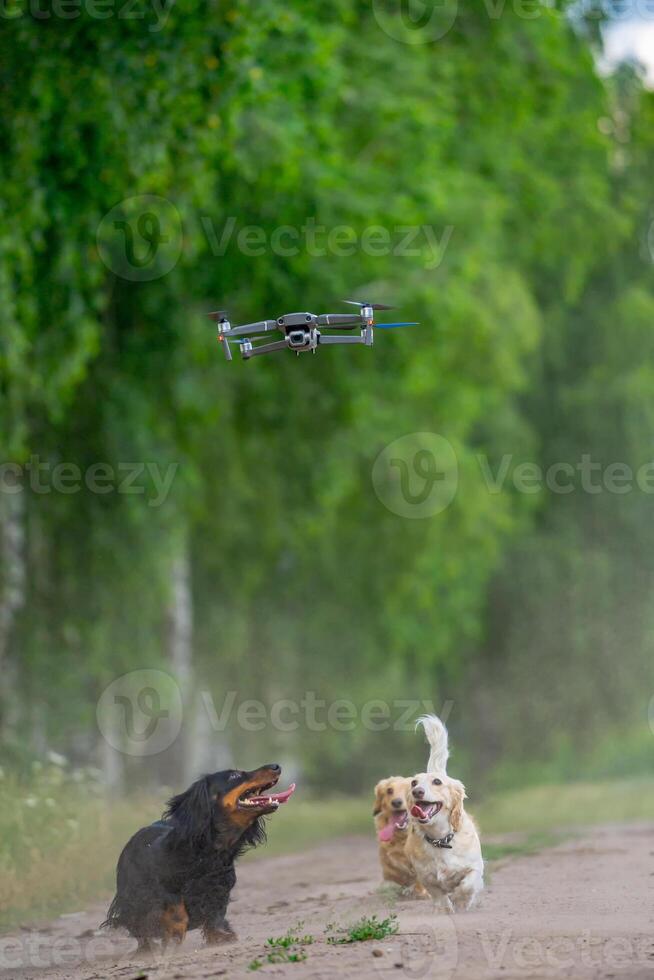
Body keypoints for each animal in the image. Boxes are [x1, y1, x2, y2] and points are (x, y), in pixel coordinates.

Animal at [104, 764, 296, 948]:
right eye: (234, 775)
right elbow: (177, 910)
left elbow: (216, 913)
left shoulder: (219, 889)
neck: (206, 853)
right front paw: (175, 933)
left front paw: (220, 935)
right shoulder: (164, 888)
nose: (276, 766)